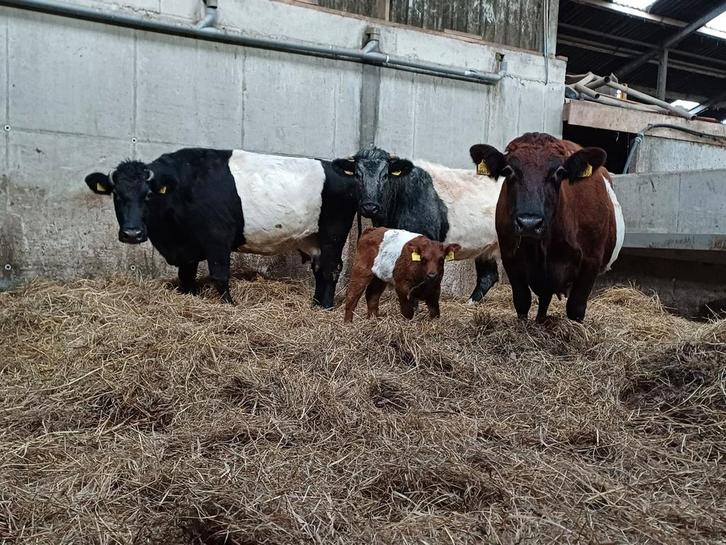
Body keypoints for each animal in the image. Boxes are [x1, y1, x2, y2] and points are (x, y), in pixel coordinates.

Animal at [84, 148, 357, 307]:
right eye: (116, 195)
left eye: (148, 195)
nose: (132, 233)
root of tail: (337, 168)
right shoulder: (186, 248)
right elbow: (186, 278)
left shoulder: (217, 238)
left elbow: (219, 275)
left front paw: (229, 305)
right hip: (311, 238)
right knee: (320, 268)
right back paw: (315, 305)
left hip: (333, 233)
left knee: (331, 268)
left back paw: (326, 307)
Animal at [469, 132, 625, 322]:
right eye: (508, 170)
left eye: (560, 172)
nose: (529, 223)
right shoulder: (510, 258)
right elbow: (522, 301)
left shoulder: (591, 261)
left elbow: (576, 308)